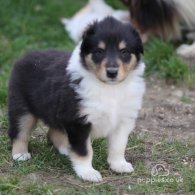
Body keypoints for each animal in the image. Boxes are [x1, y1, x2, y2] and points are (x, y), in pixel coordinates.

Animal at [7, 16, 145, 183]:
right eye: (98, 51)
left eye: (124, 51)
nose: (112, 72)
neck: (109, 88)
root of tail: (26, 55)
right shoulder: (79, 121)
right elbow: (84, 150)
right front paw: (87, 173)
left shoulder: (123, 120)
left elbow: (118, 146)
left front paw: (119, 165)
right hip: (21, 106)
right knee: (19, 131)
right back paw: (20, 154)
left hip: (56, 110)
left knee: (53, 131)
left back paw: (66, 148)